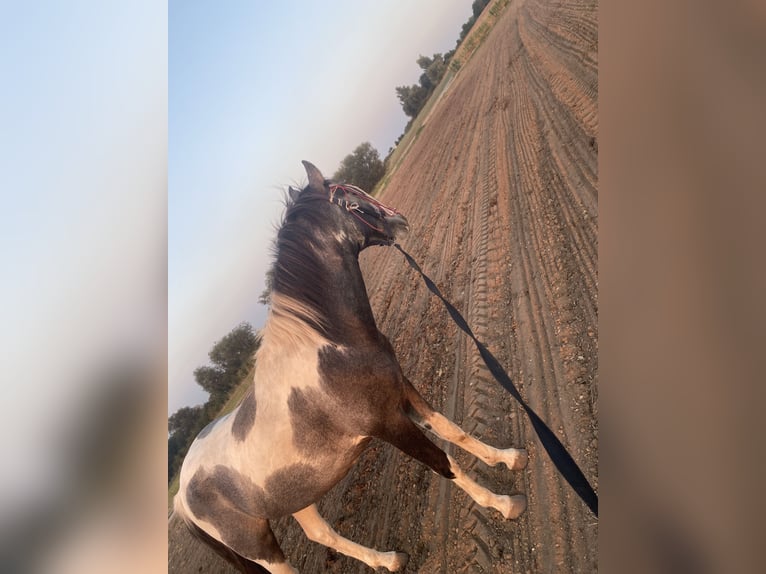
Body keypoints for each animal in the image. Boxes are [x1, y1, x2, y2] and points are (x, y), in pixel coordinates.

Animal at [176, 160, 532, 572]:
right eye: (349, 195)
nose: (398, 220)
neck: (333, 348)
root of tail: (181, 495)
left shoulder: (403, 392)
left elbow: (452, 431)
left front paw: (509, 458)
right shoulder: (388, 424)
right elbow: (442, 462)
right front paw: (504, 505)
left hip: (296, 500)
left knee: (322, 533)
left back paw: (389, 560)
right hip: (255, 541)